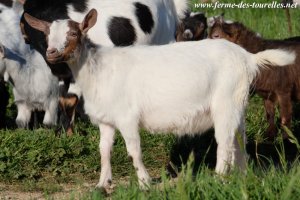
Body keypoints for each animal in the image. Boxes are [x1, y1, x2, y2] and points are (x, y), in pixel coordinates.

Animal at [25, 9, 296, 188]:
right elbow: (104, 150)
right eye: (47, 35)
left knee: (225, 143)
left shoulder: (127, 117)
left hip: (225, 103)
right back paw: (241, 175)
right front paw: (103, 184)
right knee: (239, 139)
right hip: (237, 105)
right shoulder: (106, 120)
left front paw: (144, 182)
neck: (97, 68)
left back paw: (219, 178)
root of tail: (248, 58)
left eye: (73, 34)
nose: (51, 52)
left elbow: (133, 150)